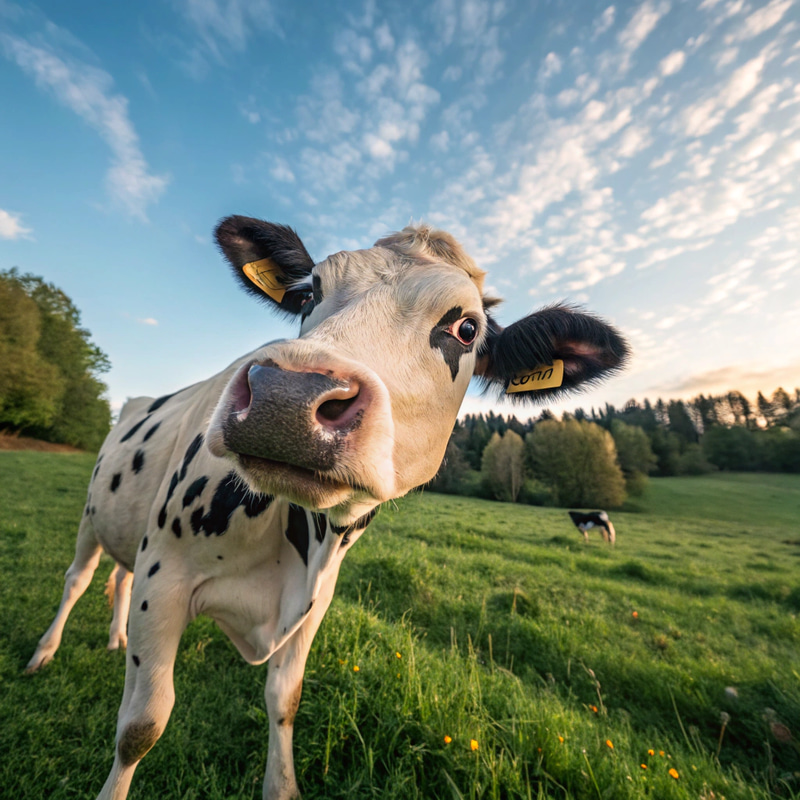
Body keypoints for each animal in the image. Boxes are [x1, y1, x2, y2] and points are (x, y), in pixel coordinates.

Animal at [26, 216, 629, 800]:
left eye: (466, 329)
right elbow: (141, 726)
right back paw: (43, 653)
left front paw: (282, 783)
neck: (301, 538)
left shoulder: (313, 607)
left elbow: (284, 702)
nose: (285, 397)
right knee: (79, 578)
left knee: (118, 577)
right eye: (310, 292)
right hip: (91, 517)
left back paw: (115, 638)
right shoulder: (165, 576)